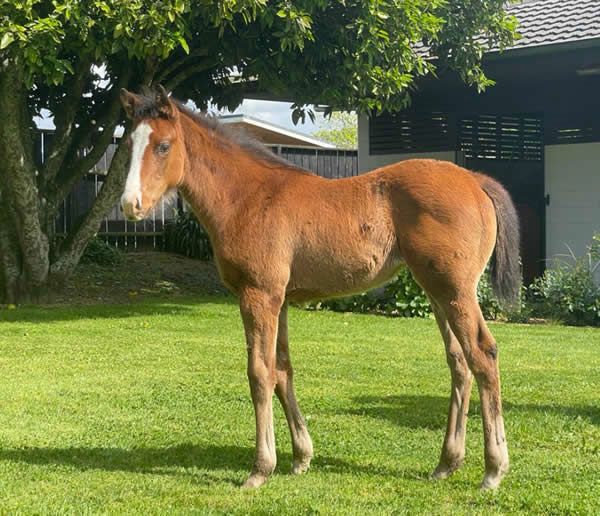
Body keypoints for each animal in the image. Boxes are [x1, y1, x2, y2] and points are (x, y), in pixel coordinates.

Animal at [119, 86, 516, 490]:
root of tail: (474, 180)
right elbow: (282, 370)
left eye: (163, 145)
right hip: (436, 292)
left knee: (483, 354)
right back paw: (447, 463)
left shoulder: (259, 295)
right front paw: (300, 457)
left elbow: (259, 373)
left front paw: (260, 469)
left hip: (455, 291)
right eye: (128, 143)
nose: (130, 205)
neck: (248, 197)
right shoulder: (280, 300)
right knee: (459, 362)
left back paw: (494, 469)